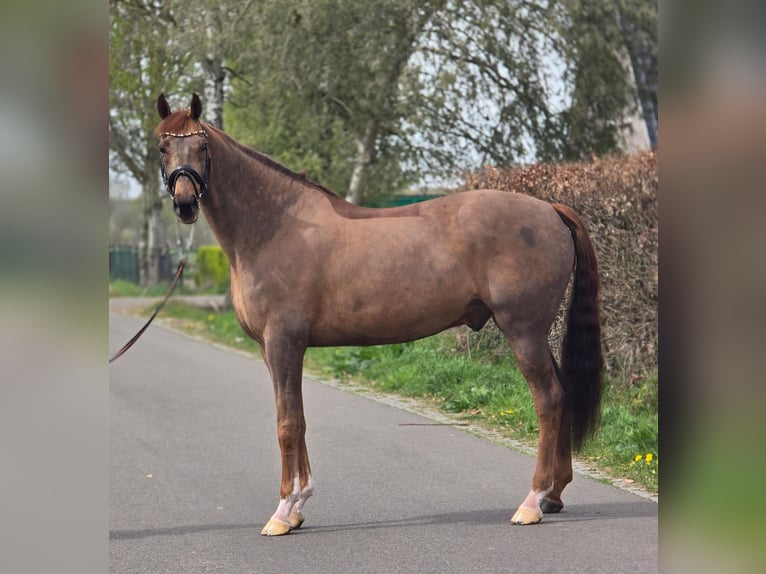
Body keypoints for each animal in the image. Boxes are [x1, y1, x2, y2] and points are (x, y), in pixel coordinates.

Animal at [155, 93, 603, 536]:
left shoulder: (283, 344)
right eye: (163, 147)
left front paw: (282, 512)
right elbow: (298, 419)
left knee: (548, 400)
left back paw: (531, 502)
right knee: (561, 395)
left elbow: (287, 424)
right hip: (536, 334)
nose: (185, 203)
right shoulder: (274, 349)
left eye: (202, 147)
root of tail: (549, 209)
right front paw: (299, 506)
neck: (275, 226)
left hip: (523, 331)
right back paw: (553, 495)